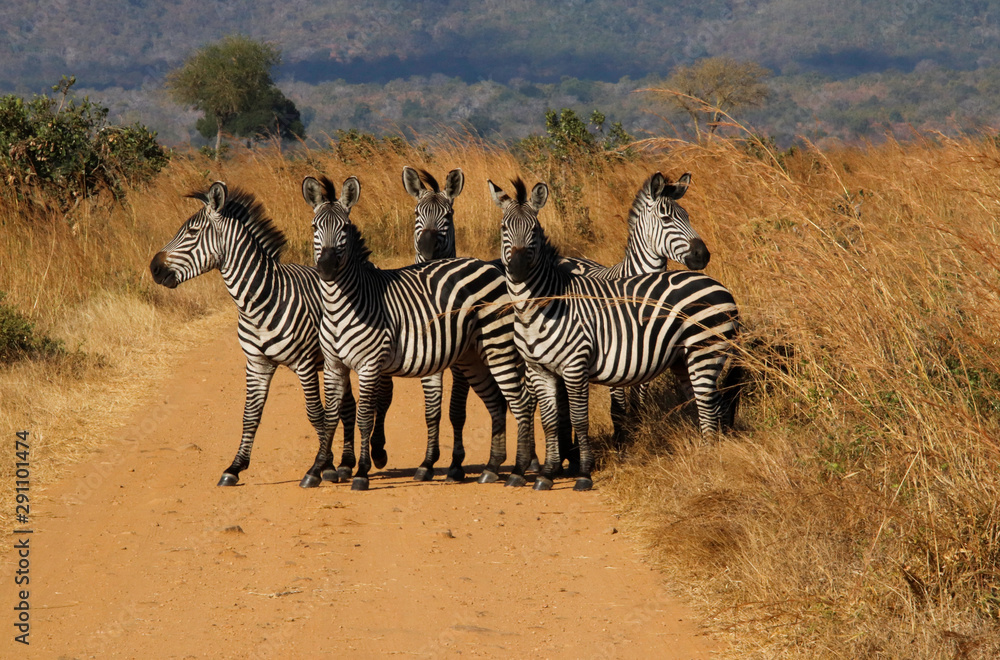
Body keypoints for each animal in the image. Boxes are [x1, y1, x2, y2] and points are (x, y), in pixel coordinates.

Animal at [149, 182, 387, 487]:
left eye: (191, 232)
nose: (154, 268)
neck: (259, 301)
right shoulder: (257, 363)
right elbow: (250, 415)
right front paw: (235, 467)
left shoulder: (304, 364)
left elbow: (316, 414)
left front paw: (323, 467)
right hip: (337, 363)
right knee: (347, 407)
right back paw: (347, 464)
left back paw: (364, 458)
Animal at [301, 174, 536, 490]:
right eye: (315, 227)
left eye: (344, 228)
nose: (326, 269)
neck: (342, 304)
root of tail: (488, 265)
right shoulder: (333, 366)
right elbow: (330, 418)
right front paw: (316, 470)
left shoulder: (369, 365)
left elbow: (364, 418)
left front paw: (361, 472)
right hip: (473, 356)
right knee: (497, 403)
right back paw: (491, 467)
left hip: (498, 346)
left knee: (520, 402)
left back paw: (519, 471)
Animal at [490, 177, 741, 491]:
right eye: (504, 229)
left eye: (534, 230)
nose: (518, 269)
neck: (541, 304)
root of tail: (722, 287)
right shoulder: (540, 370)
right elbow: (550, 420)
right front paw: (547, 473)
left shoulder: (576, 365)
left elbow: (582, 418)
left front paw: (585, 473)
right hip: (684, 360)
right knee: (707, 405)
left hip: (705, 352)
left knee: (709, 408)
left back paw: (707, 463)